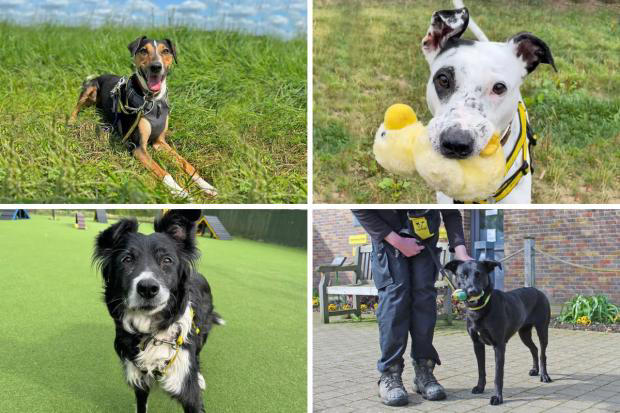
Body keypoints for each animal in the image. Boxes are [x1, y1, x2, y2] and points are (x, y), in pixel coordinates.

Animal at [93, 209, 224, 412]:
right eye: (127, 260)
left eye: (167, 260)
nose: (148, 288)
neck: (152, 333)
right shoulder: (138, 379)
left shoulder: (187, 388)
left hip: (202, 332)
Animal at [446, 260, 552, 404]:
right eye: (462, 275)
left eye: (479, 274)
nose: (473, 291)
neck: (481, 308)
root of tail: (537, 291)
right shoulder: (477, 344)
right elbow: (481, 370)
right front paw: (480, 387)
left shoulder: (499, 345)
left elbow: (498, 374)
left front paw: (497, 397)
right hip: (523, 333)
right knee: (534, 349)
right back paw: (535, 370)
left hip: (542, 329)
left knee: (542, 353)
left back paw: (544, 375)